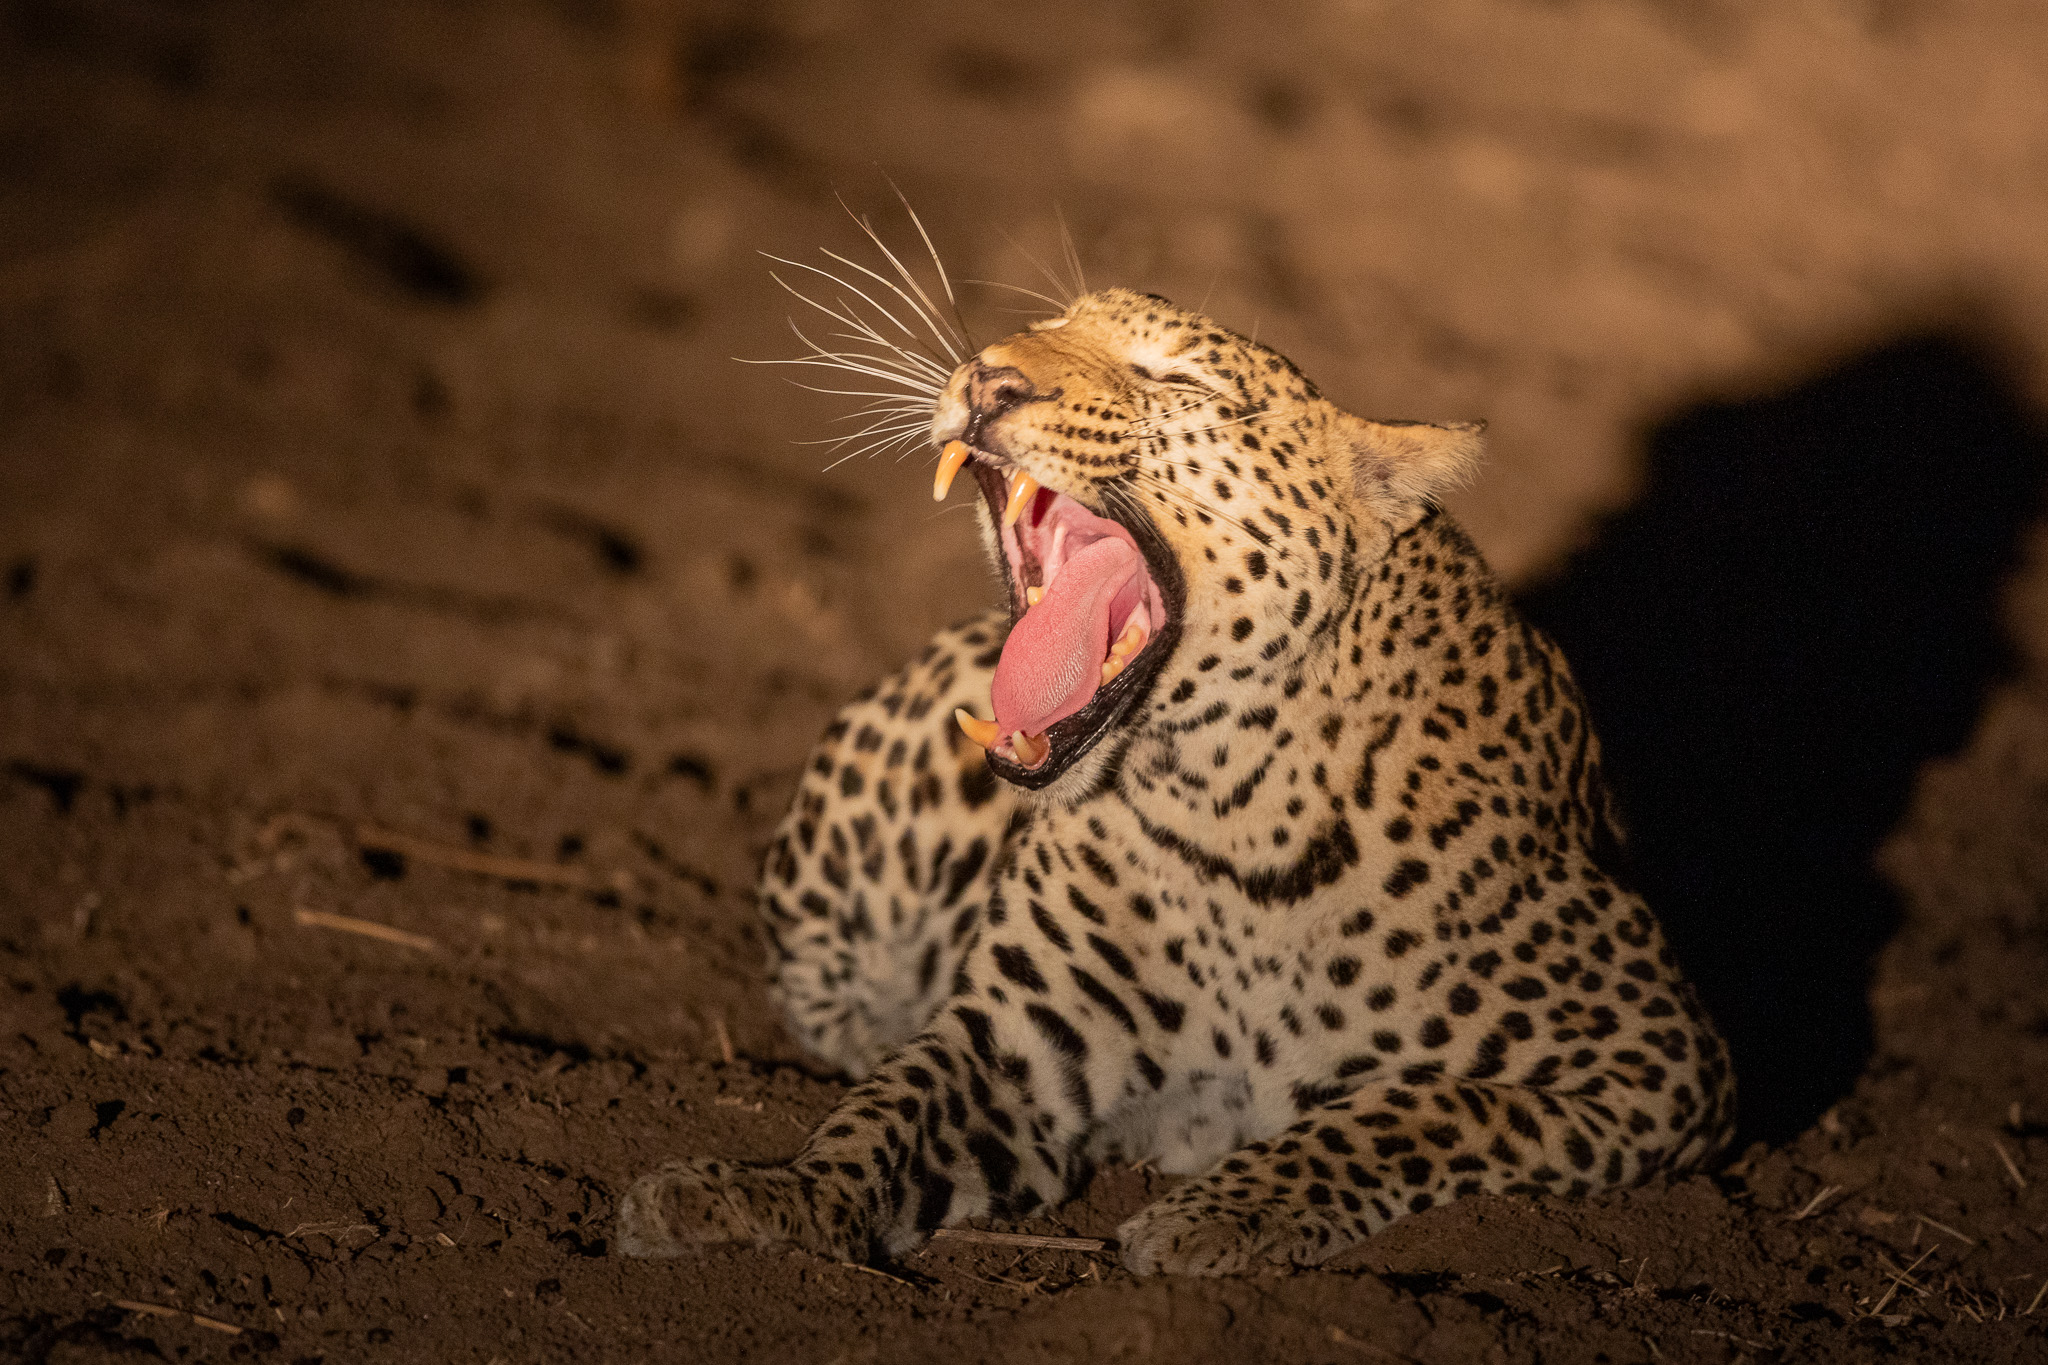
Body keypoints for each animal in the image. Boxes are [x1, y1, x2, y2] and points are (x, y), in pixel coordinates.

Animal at [618, 282, 1728, 1277]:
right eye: (1048, 323)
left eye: (1177, 379)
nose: (988, 376)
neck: (1227, 812)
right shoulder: (1014, 1046)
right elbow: (881, 1112)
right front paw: (762, 1195)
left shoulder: (1652, 1060)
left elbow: (1416, 1107)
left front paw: (1218, 1214)